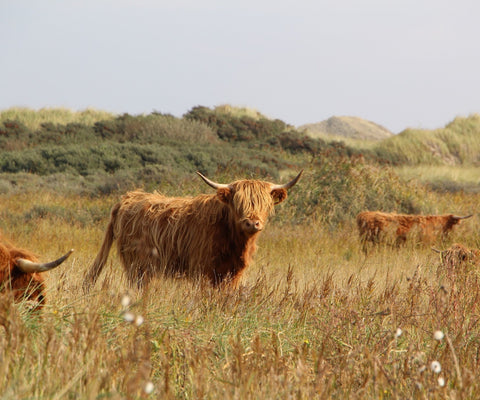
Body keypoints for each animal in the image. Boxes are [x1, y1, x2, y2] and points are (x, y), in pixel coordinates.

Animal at [84, 170, 302, 290]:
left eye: (264, 204)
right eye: (238, 204)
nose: (252, 223)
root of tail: (127, 198)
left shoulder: (233, 274)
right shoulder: (202, 270)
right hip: (138, 266)